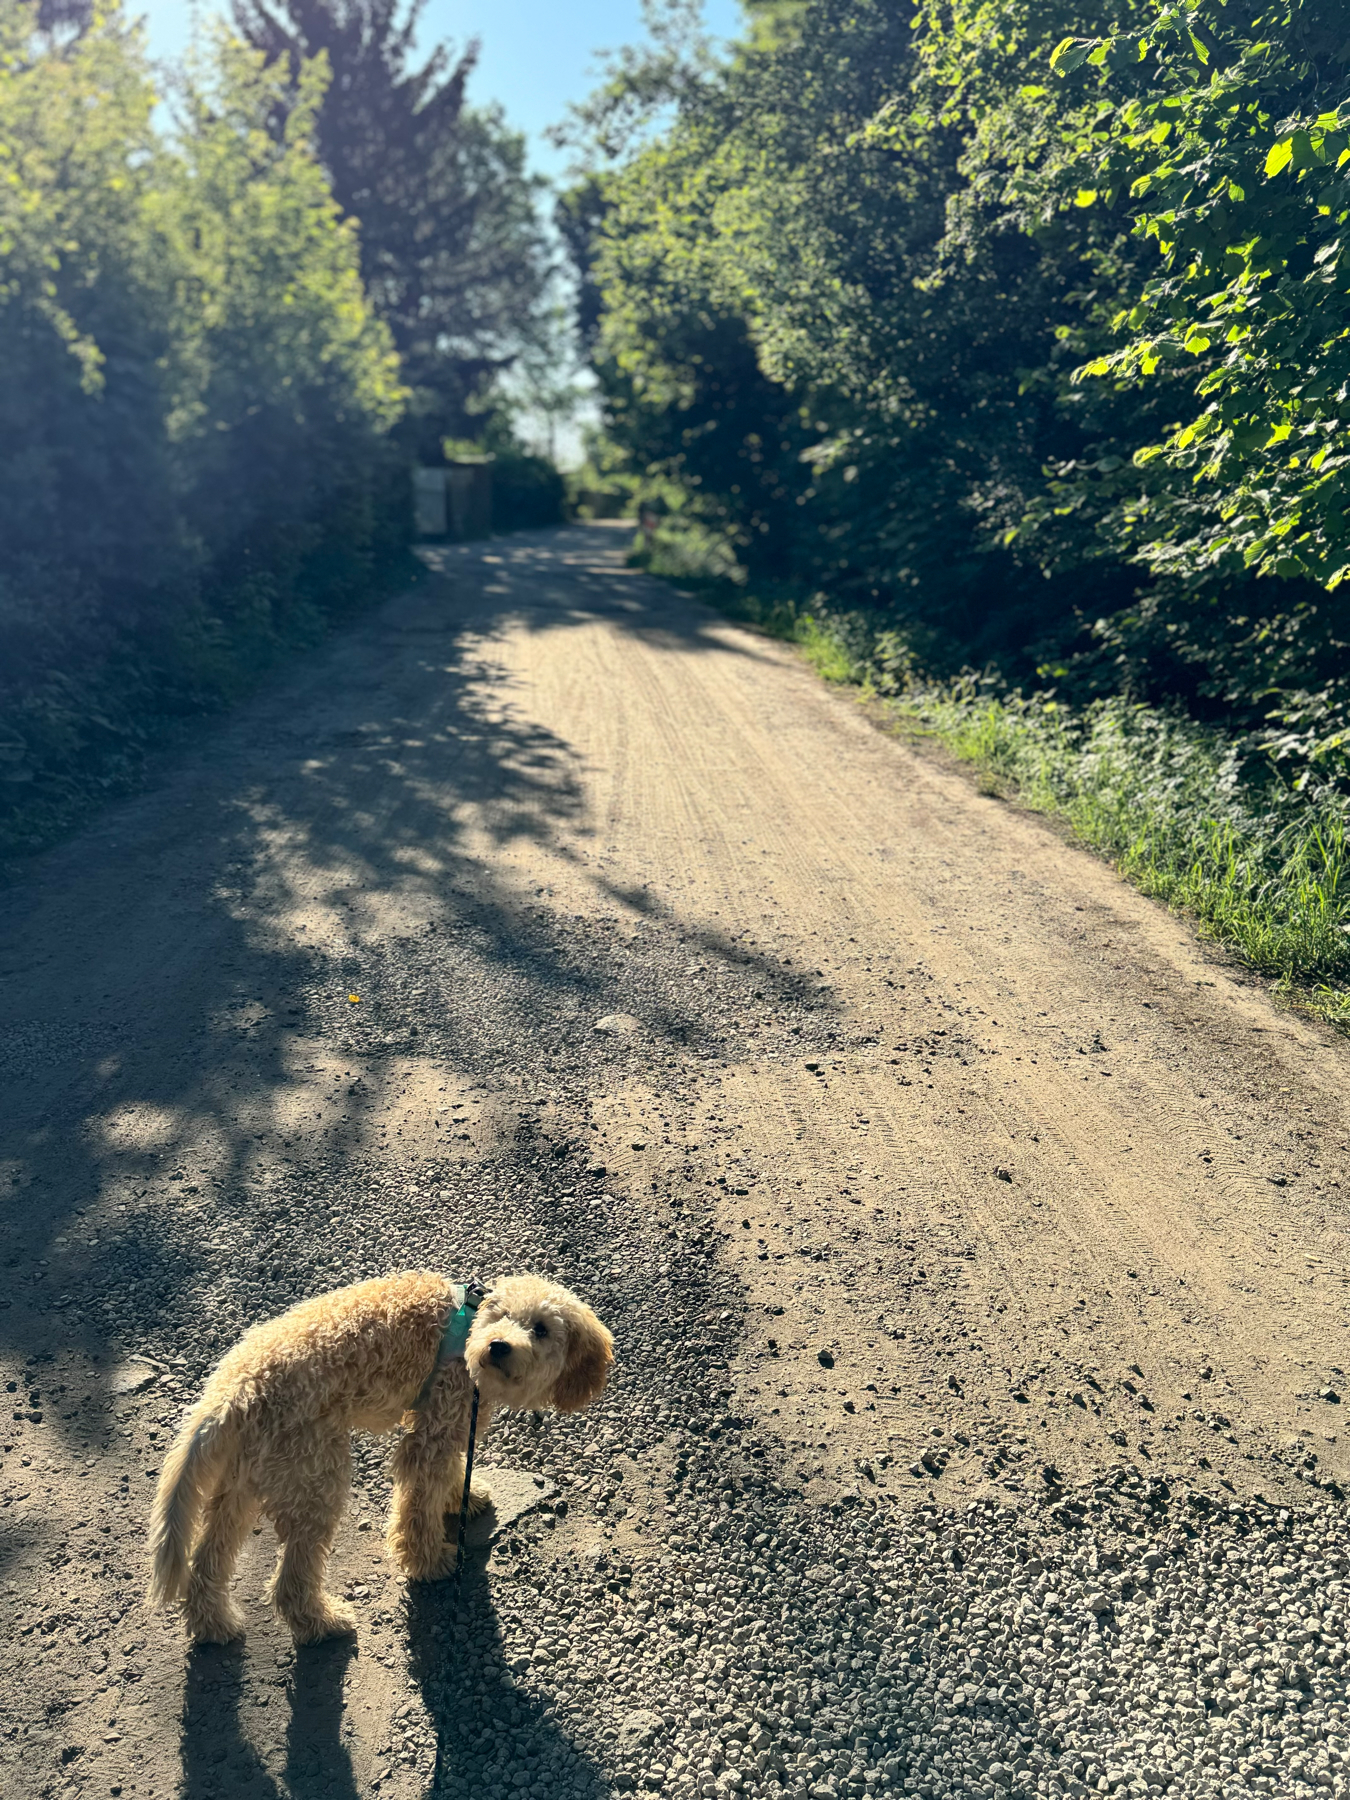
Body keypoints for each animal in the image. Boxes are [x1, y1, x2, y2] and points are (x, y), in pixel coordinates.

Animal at [146, 1274, 612, 1641]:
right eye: (499, 1315)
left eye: (541, 1329)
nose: (497, 1346)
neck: (467, 1334)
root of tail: (233, 1389)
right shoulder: (434, 1430)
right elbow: (419, 1504)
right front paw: (427, 1561)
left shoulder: (446, 1421)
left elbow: (448, 1475)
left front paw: (463, 1496)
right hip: (316, 1476)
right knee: (290, 1581)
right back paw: (321, 1624)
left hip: (245, 1481)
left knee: (207, 1562)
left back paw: (214, 1626)